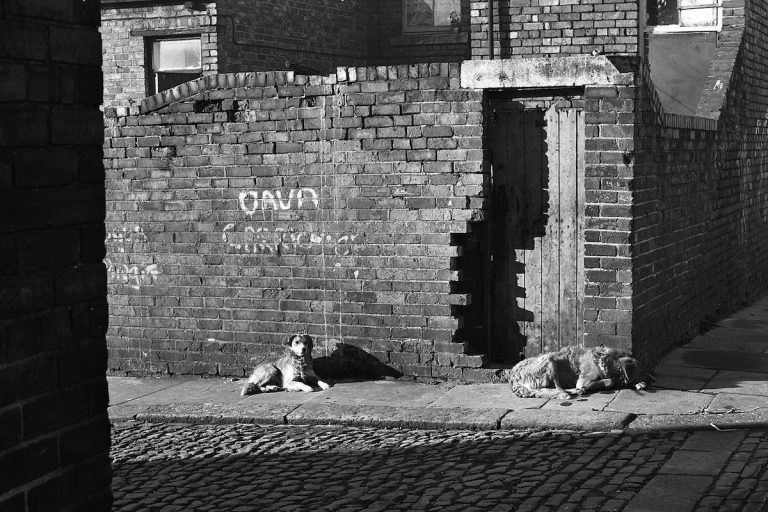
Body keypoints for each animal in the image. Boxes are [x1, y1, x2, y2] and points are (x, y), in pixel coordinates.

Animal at [508, 344, 652, 400]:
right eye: (642, 371)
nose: (651, 380)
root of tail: (513, 378)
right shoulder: (583, 380)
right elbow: (609, 381)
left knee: (542, 391)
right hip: (549, 360)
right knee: (558, 390)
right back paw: (572, 392)